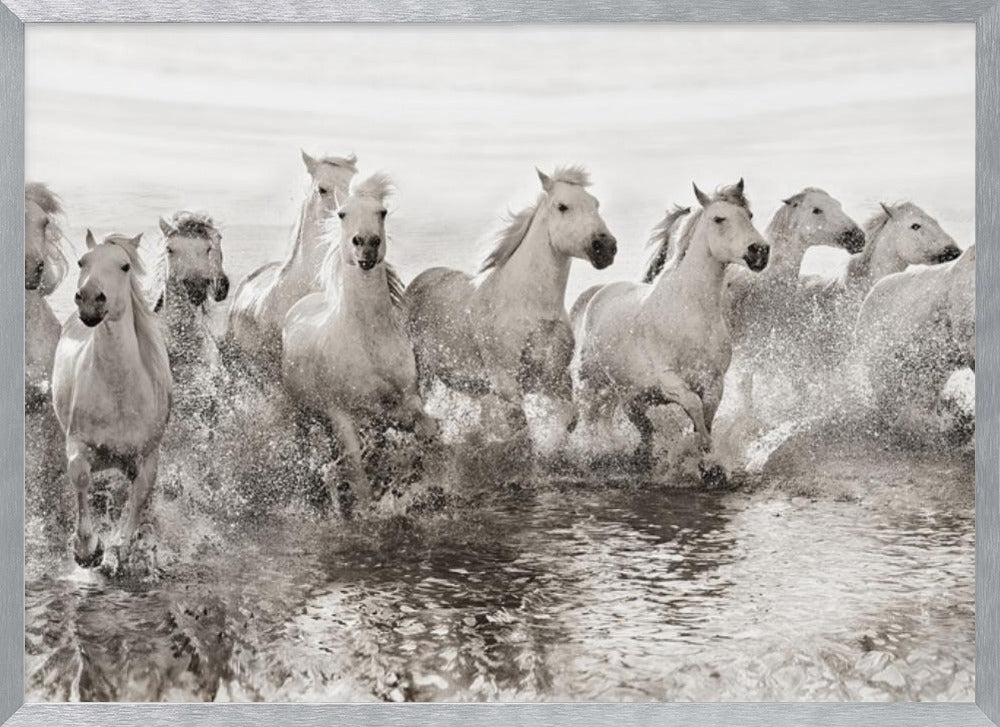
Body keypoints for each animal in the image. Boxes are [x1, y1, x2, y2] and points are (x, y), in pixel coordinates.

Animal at [52, 231, 172, 571]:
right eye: (82, 262)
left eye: (125, 266)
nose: (91, 299)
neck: (119, 394)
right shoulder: (78, 443)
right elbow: (80, 476)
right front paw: (87, 549)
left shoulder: (148, 456)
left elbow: (139, 496)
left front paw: (119, 546)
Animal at [282, 173, 436, 512]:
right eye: (342, 214)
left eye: (382, 212)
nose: (366, 244)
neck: (368, 341)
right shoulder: (341, 416)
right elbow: (358, 473)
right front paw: (365, 508)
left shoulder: (406, 400)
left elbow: (425, 430)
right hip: (302, 414)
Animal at [406, 166, 617, 450]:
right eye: (562, 206)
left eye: (595, 204)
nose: (606, 247)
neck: (530, 304)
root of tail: (420, 279)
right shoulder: (506, 382)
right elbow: (525, 426)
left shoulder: (553, 376)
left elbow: (569, 417)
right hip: (422, 371)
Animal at [570, 180, 769, 477]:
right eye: (719, 218)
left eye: (750, 216)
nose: (760, 251)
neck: (691, 313)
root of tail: (597, 293)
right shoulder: (669, 379)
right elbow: (694, 406)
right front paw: (703, 453)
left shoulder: (714, 381)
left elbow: (706, 415)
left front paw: (707, 461)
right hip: (592, 383)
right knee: (590, 416)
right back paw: (594, 451)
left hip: (628, 394)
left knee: (632, 423)